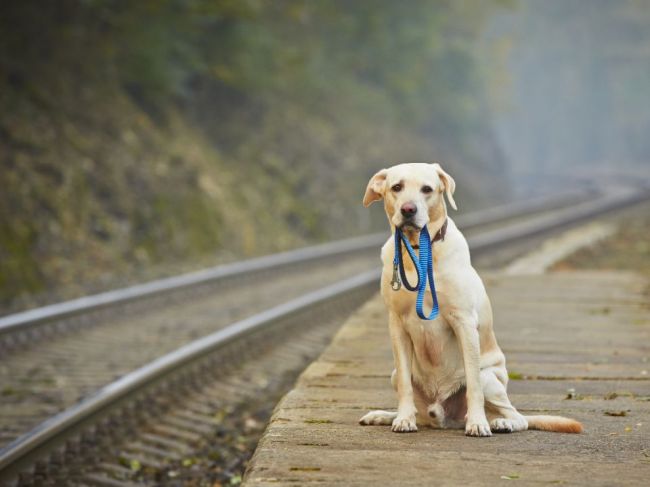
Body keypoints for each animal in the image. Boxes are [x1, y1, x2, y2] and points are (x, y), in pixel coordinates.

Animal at [356, 162, 580, 436]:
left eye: (427, 189)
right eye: (397, 187)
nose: (408, 209)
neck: (419, 252)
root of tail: (444, 417)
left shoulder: (463, 322)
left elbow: (473, 384)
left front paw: (477, 422)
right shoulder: (397, 324)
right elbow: (406, 389)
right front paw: (403, 419)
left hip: (490, 379)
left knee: (517, 416)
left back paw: (499, 422)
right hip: (395, 374)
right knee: (417, 405)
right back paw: (385, 415)